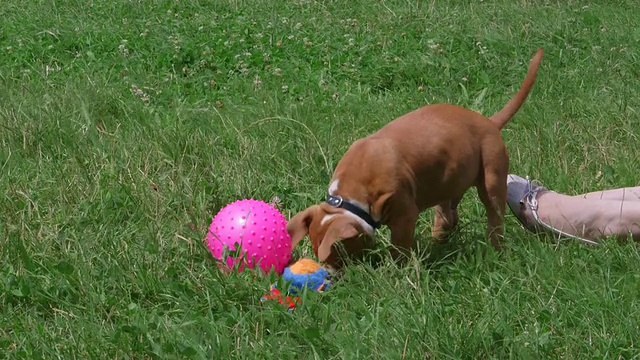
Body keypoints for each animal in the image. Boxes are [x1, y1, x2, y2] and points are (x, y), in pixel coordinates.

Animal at [288, 47, 544, 268]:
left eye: (338, 252)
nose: (332, 275)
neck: (350, 197)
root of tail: (489, 122)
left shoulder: (404, 215)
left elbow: (399, 248)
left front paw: (395, 271)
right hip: (450, 179)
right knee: (448, 215)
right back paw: (439, 242)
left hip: (491, 176)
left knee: (494, 216)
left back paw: (493, 248)